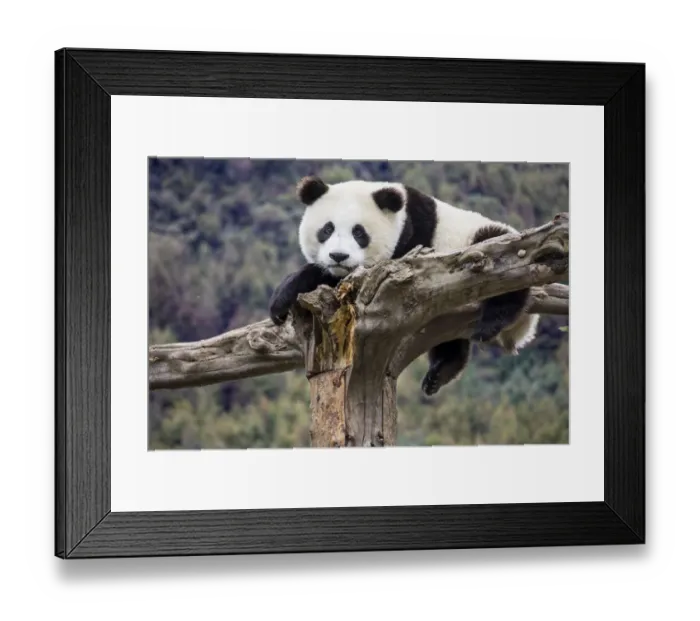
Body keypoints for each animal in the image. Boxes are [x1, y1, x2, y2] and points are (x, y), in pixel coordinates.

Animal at [269, 175, 539, 396]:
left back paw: (491, 322)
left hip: (488, 246)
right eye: (327, 229)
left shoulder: (410, 241)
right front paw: (280, 304)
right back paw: (439, 373)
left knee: (501, 263)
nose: (338, 256)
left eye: (359, 233)